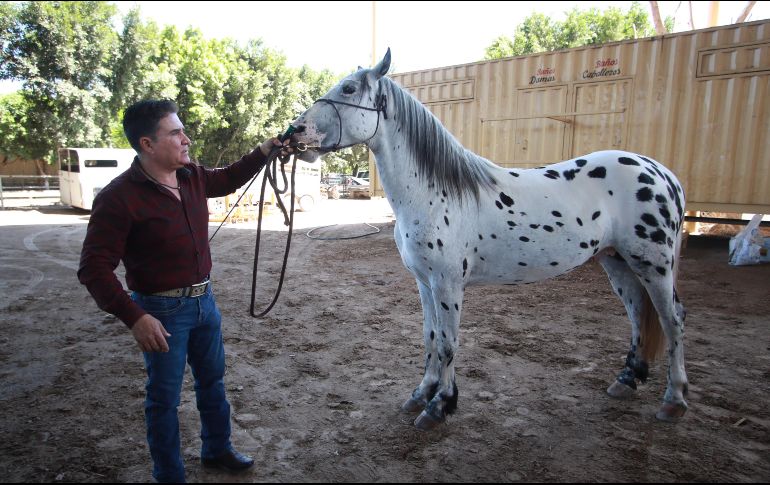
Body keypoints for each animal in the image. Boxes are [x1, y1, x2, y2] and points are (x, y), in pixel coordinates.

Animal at [292, 48, 688, 428]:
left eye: (348, 88)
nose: (294, 131)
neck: (434, 193)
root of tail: (663, 173)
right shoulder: (424, 283)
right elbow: (429, 337)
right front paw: (421, 393)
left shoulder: (448, 284)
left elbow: (448, 343)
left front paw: (440, 406)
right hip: (617, 261)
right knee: (638, 314)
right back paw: (627, 380)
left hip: (654, 265)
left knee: (672, 320)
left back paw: (674, 400)